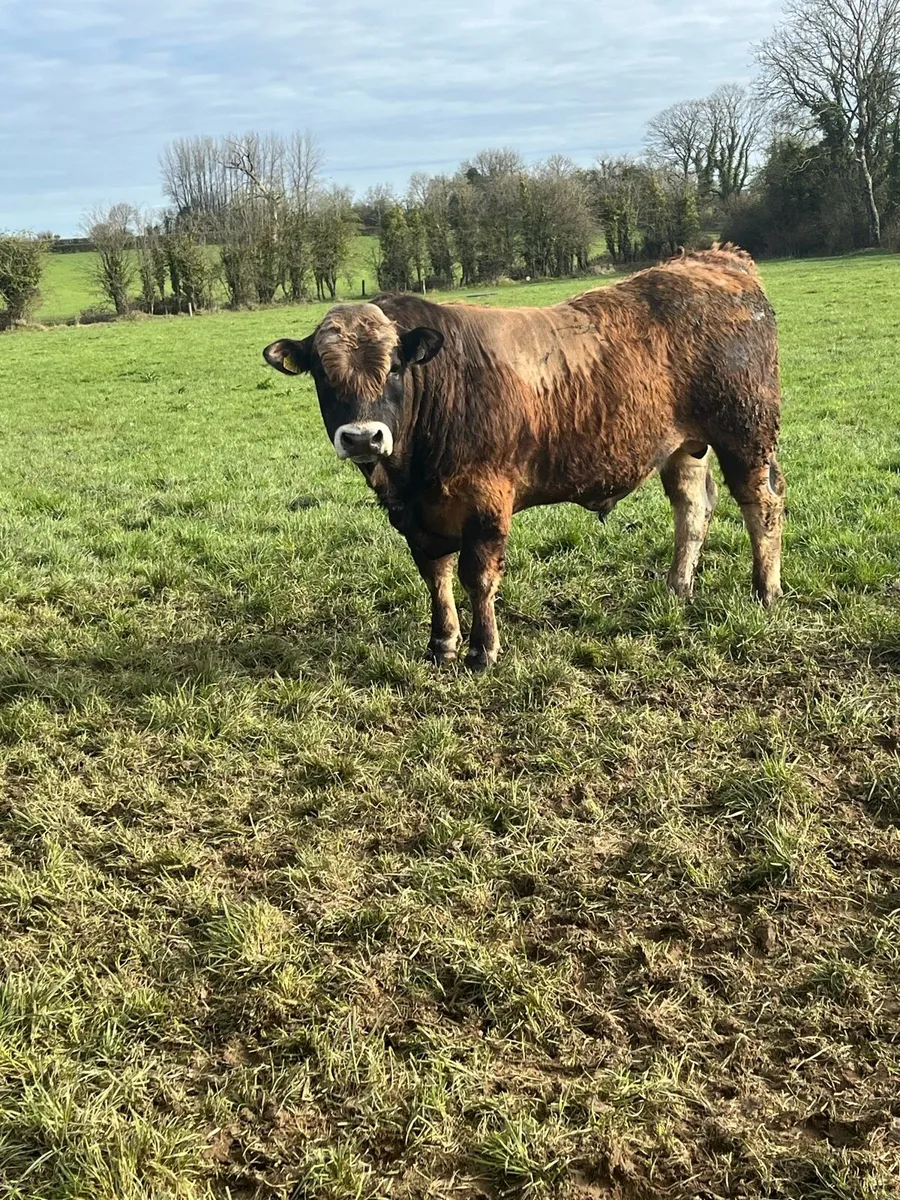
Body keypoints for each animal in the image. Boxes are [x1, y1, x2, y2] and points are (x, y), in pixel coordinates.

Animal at [263, 245, 785, 670]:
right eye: (322, 374)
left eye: (394, 367)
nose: (362, 438)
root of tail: (716, 259)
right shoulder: (417, 518)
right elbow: (435, 576)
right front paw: (442, 644)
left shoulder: (487, 501)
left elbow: (477, 576)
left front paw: (482, 650)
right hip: (683, 447)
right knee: (692, 509)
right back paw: (678, 588)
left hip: (746, 433)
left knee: (762, 505)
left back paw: (766, 590)